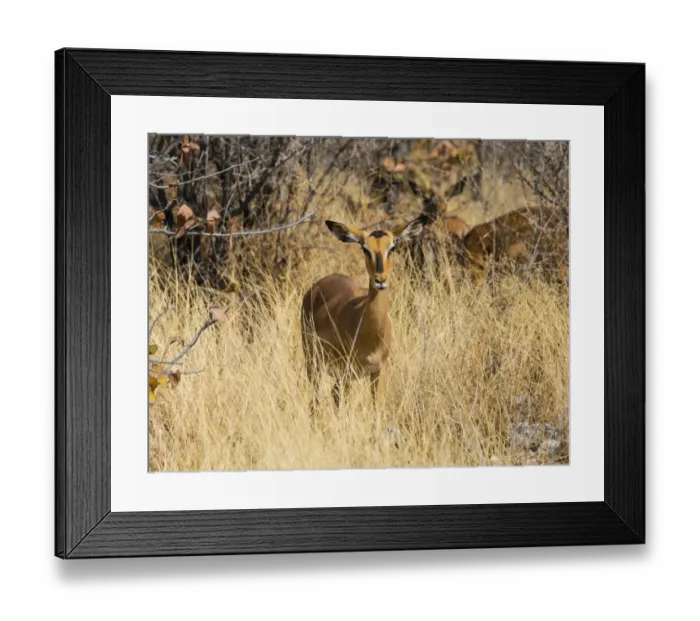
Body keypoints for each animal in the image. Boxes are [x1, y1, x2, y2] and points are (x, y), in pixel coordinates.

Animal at [301, 215, 427, 410]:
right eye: (365, 248)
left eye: (392, 247)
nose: (380, 280)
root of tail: (316, 286)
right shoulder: (346, 370)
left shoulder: (379, 371)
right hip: (314, 365)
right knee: (318, 399)